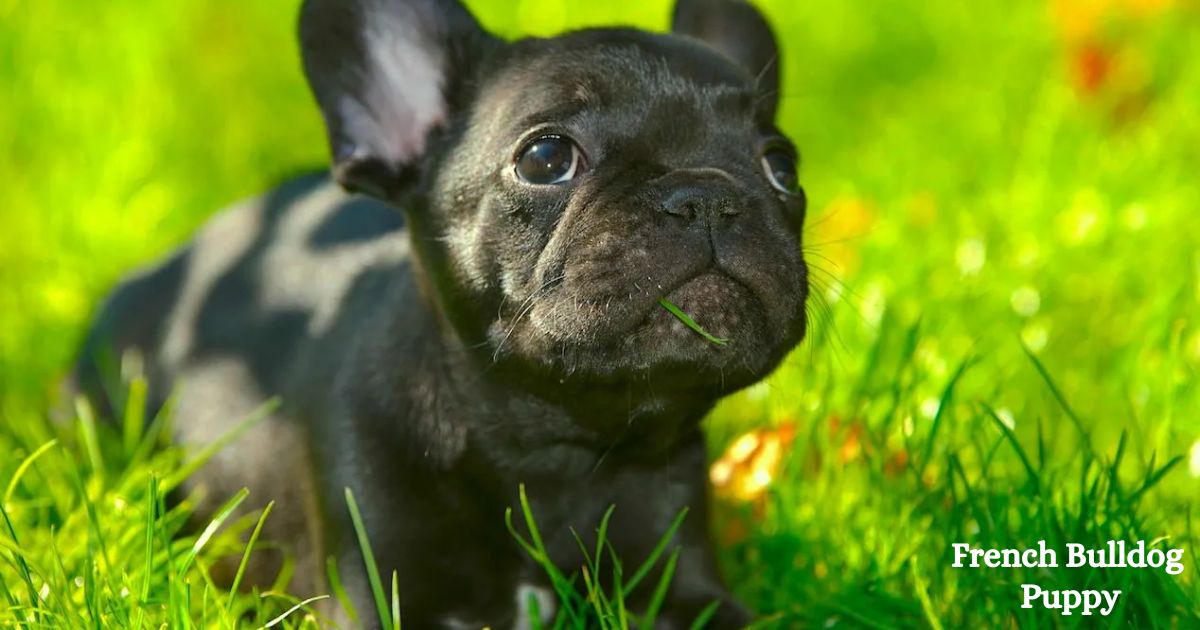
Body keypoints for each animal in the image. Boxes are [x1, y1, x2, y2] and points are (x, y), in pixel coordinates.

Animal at [72, 0, 806, 624]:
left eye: (781, 166)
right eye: (547, 157)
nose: (705, 195)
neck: (551, 455)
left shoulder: (687, 582)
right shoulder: (380, 590)